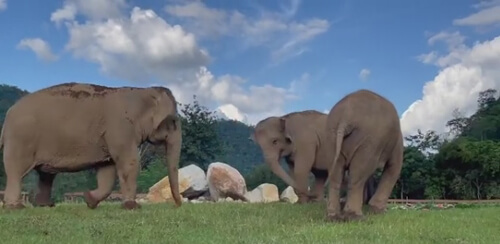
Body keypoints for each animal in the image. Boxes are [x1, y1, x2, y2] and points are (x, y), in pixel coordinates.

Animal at [0, 82, 184, 210]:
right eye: (173, 122)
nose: (178, 205)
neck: (142, 91)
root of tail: (8, 115)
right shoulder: (121, 129)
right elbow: (129, 162)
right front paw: (132, 207)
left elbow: (106, 170)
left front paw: (89, 200)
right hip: (21, 139)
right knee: (17, 172)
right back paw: (15, 207)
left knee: (46, 174)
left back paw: (45, 206)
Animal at [324, 88, 402, 222]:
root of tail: (345, 117)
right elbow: (393, 168)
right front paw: (379, 211)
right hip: (368, 141)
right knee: (358, 173)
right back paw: (356, 217)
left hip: (331, 137)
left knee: (336, 173)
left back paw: (333, 217)